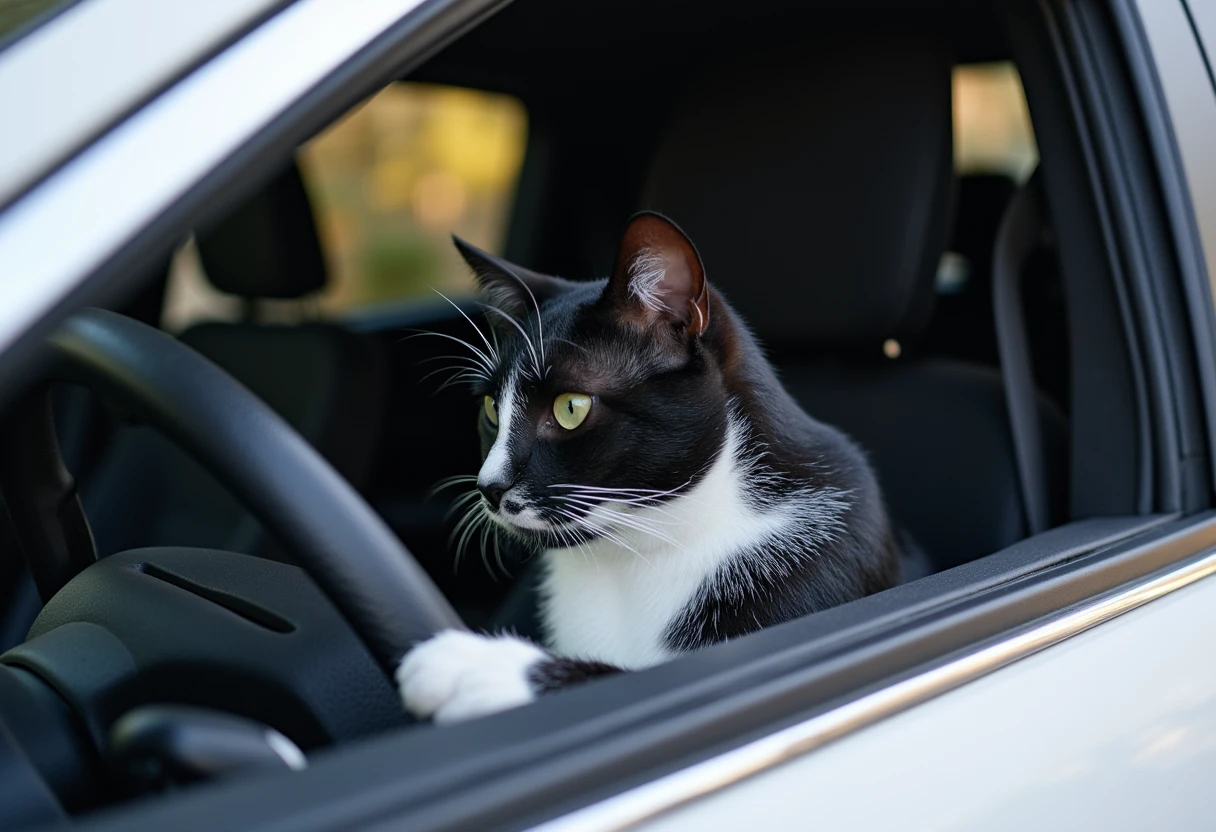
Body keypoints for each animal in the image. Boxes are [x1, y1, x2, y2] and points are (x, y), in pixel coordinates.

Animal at [393, 212, 899, 720]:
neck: (636, 551)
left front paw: (471, 666)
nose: (489, 487)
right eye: (492, 409)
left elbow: (628, 683)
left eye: (571, 407)